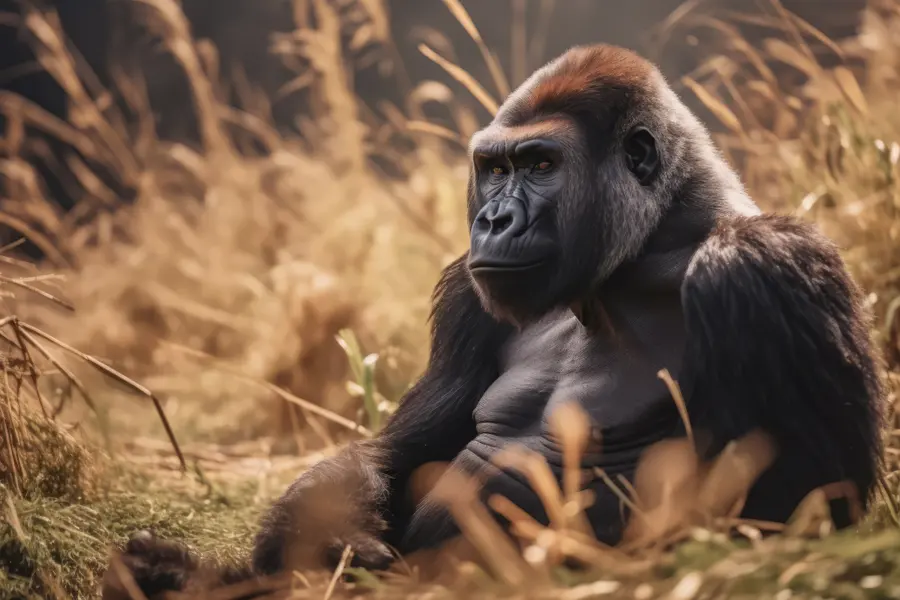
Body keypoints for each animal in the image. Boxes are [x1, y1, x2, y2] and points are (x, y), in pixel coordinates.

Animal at [101, 43, 886, 599]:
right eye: (494, 167)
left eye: (540, 165)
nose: (493, 220)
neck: (654, 242)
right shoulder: (467, 298)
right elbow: (394, 454)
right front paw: (334, 548)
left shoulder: (769, 268)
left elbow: (799, 509)